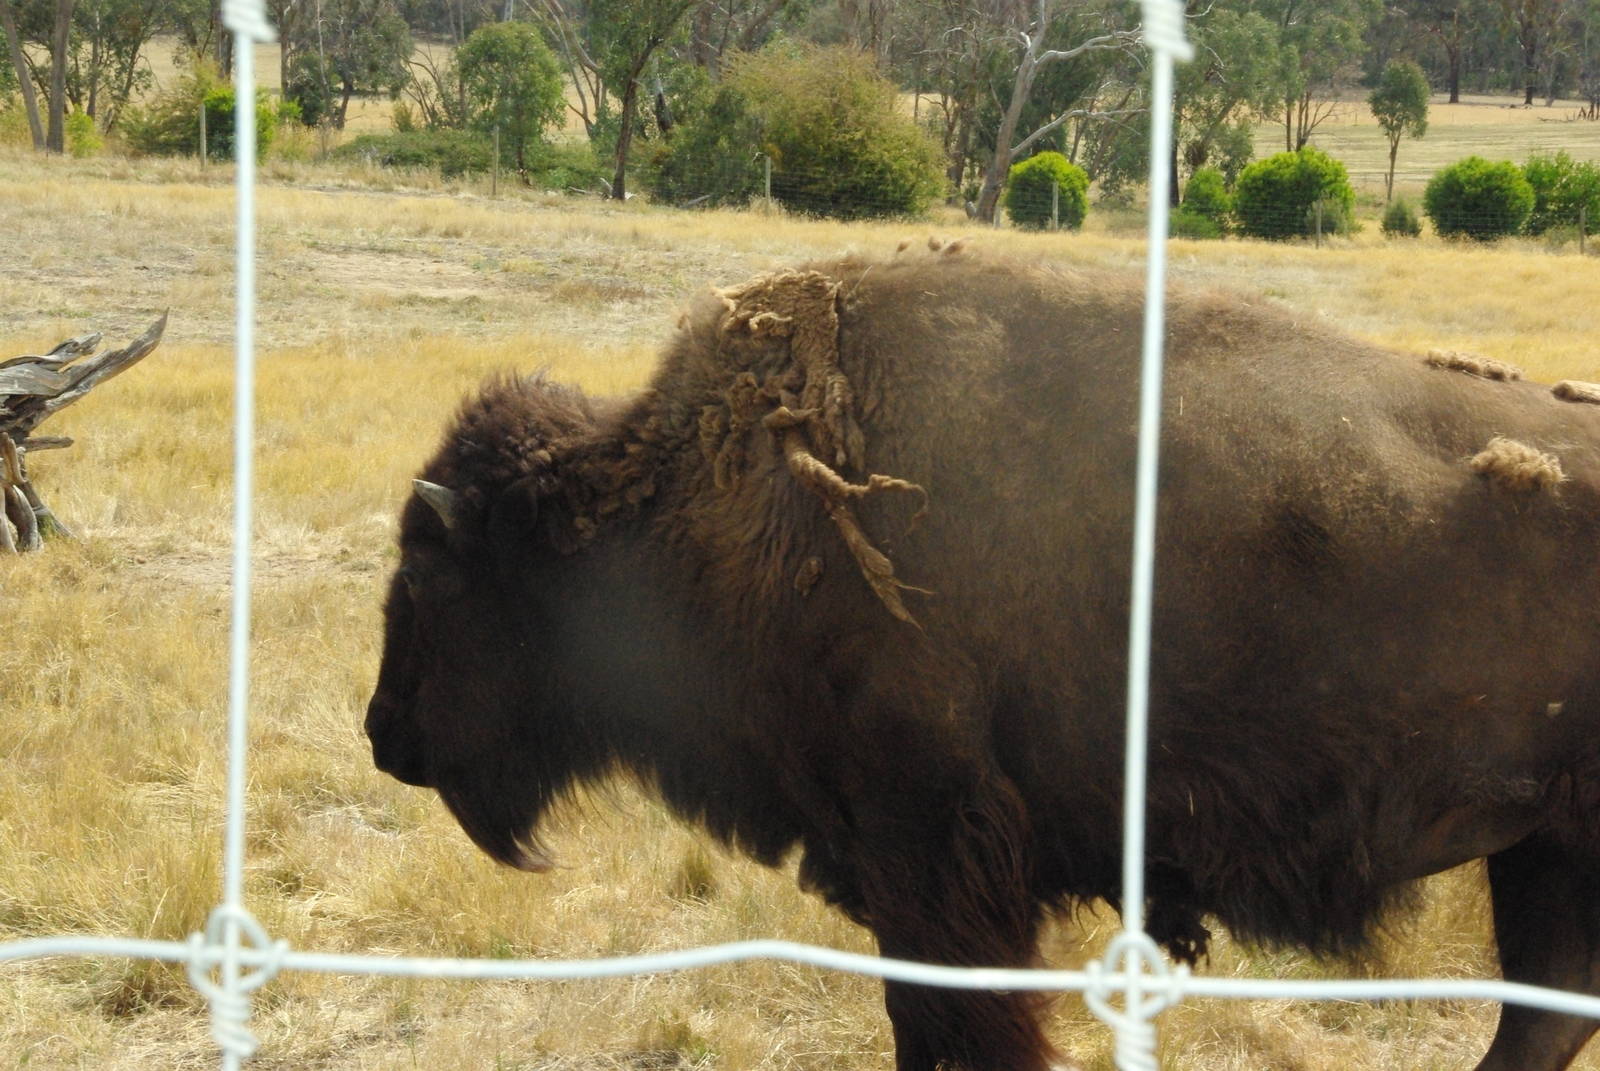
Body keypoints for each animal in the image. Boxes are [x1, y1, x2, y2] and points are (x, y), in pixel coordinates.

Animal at [366, 243, 1600, 1071]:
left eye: (427, 569)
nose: (384, 734)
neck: (694, 505)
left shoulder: (934, 855)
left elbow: (964, 1029)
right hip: (1540, 853)